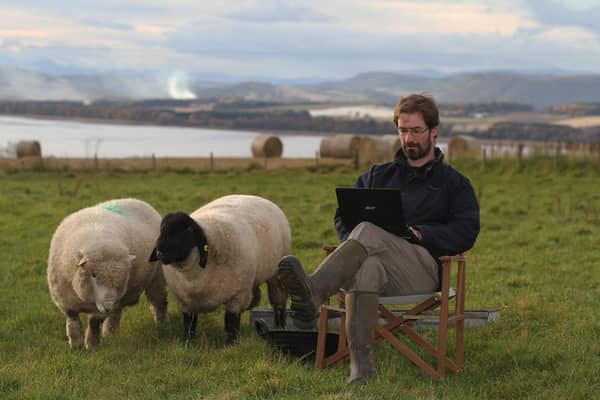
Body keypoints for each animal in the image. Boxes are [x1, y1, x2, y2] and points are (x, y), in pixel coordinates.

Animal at [47, 198, 168, 348]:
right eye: (93, 274)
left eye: (124, 276)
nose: (108, 306)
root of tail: (139, 201)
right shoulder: (65, 299)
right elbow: (73, 322)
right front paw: (76, 346)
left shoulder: (104, 306)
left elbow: (94, 322)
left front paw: (91, 344)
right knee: (117, 312)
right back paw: (110, 333)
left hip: (157, 277)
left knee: (158, 302)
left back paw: (161, 325)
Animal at [150, 194, 290, 344]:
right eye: (162, 229)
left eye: (187, 230)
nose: (160, 251)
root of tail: (254, 196)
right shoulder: (185, 301)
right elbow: (189, 324)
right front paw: (188, 342)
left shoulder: (237, 296)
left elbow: (231, 323)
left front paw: (231, 344)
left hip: (276, 276)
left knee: (279, 303)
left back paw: (280, 326)